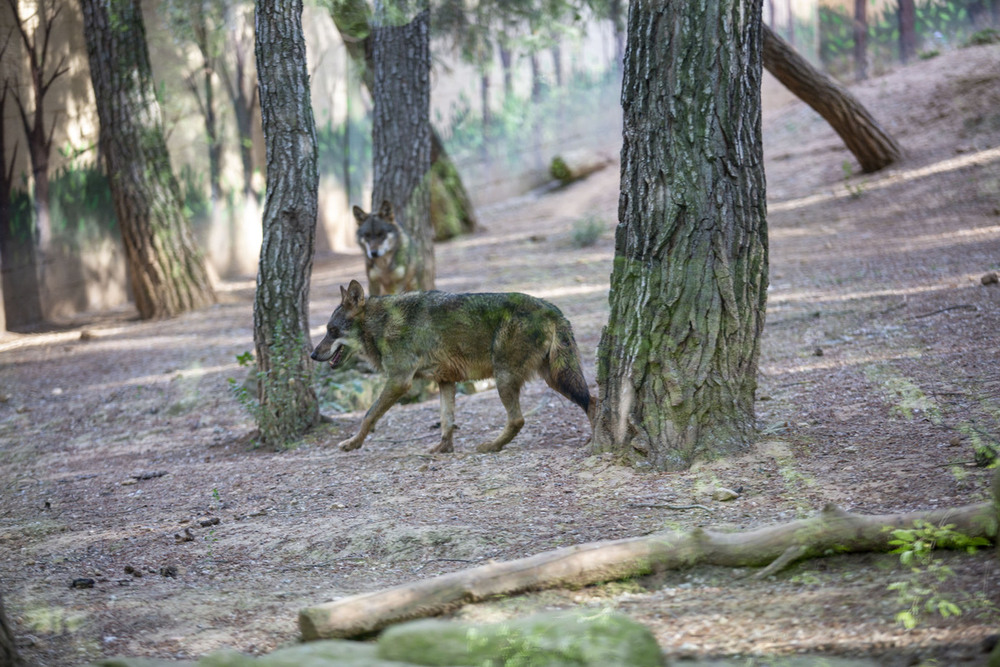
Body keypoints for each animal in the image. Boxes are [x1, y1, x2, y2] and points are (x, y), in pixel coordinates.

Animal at [312, 280, 592, 456]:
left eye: (331, 331)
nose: (313, 354)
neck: (382, 323)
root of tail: (553, 309)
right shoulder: (446, 381)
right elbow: (447, 421)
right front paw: (443, 449)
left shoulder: (399, 381)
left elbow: (369, 415)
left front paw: (353, 443)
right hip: (557, 379)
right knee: (593, 401)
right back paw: (595, 439)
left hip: (506, 379)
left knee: (518, 420)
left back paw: (491, 446)